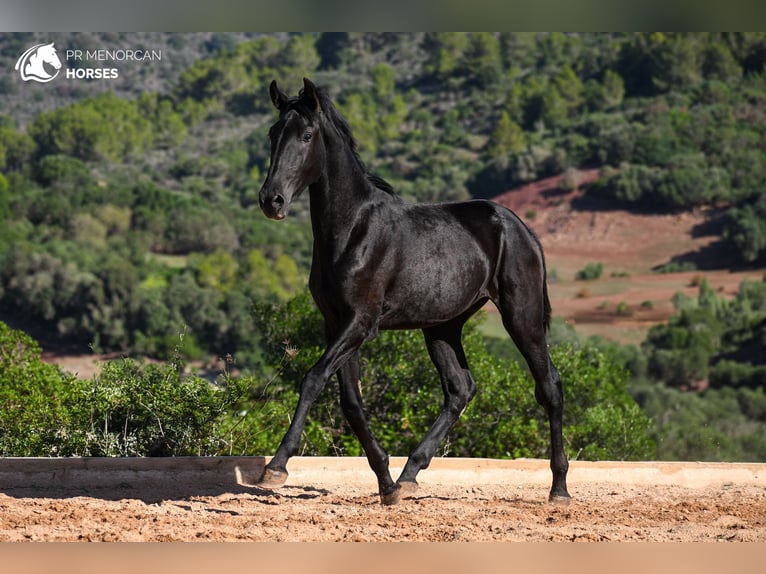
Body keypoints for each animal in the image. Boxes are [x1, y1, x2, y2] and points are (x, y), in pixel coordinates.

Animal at [256, 79, 568, 506]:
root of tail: (520, 226)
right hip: (442, 327)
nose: (271, 200)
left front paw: (276, 467)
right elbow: (351, 401)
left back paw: (560, 488)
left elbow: (314, 380)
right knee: (460, 390)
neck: (353, 230)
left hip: (522, 316)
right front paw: (386, 482)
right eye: (273, 134)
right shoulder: (336, 324)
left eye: (306, 135)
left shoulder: (361, 323)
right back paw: (408, 476)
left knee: (549, 385)